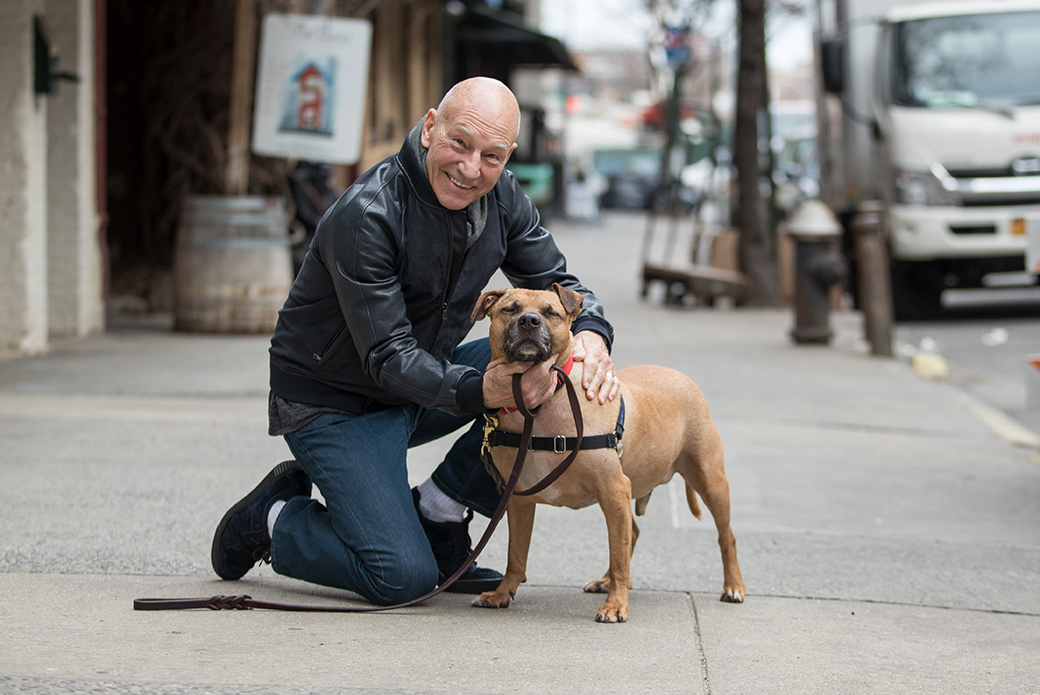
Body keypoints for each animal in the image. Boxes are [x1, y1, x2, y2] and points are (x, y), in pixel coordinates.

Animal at [467, 282, 744, 624]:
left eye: (550, 312)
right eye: (511, 309)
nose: (529, 321)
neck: (545, 401)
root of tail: (679, 375)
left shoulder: (613, 488)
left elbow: (619, 554)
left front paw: (616, 605)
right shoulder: (518, 499)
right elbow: (516, 555)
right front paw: (502, 593)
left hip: (710, 480)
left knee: (725, 535)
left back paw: (733, 587)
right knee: (631, 533)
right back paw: (605, 579)